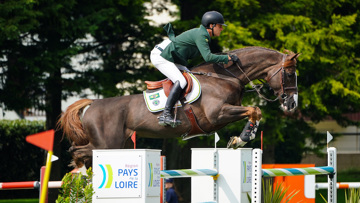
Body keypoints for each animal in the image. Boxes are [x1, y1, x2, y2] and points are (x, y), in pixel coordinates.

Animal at [58, 46, 300, 168]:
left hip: (119, 144)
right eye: (289, 74)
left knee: (78, 151)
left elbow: (255, 112)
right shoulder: (217, 115)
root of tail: (93, 103)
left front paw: (241, 138)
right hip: (107, 144)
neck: (225, 77)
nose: (292, 104)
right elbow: (254, 110)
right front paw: (241, 138)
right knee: (77, 151)